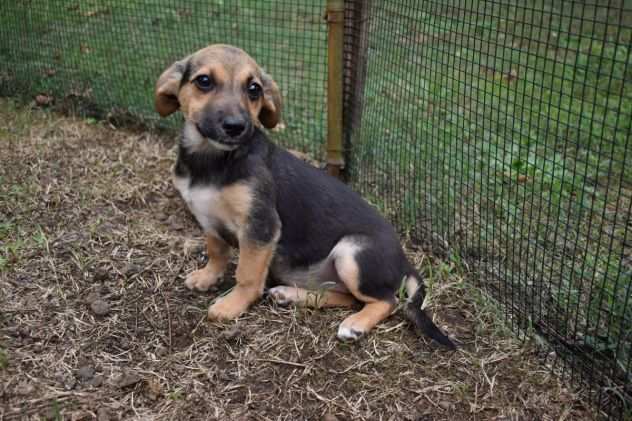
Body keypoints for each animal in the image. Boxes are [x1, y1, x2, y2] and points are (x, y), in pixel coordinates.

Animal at [156, 43, 456, 348]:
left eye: (254, 89)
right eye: (203, 81)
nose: (236, 126)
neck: (211, 160)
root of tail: (405, 261)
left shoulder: (261, 226)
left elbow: (247, 274)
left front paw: (232, 305)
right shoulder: (208, 219)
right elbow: (216, 252)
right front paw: (208, 277)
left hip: (352, 253)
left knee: (387, 300)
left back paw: (355, 324)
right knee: (345, 297)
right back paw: (290, 295)